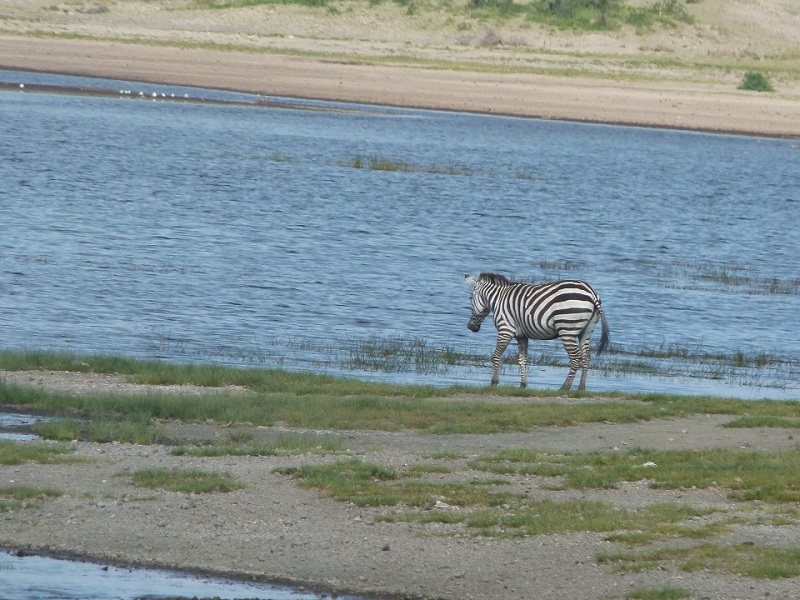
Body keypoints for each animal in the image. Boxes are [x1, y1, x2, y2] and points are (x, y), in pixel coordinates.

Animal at [465, 272, 609, 390]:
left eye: (470, 297)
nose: (471, 327)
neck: (498, 299)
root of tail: (591, 292)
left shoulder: (505, 330)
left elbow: (496, 355)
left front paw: (494, 382)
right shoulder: (521, 336)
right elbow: (522, 360)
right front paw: (523, 385)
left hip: (567, 329)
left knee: (575, 358)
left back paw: (565, 387)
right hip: (586, 331)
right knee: (586, 357)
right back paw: (581, 387)